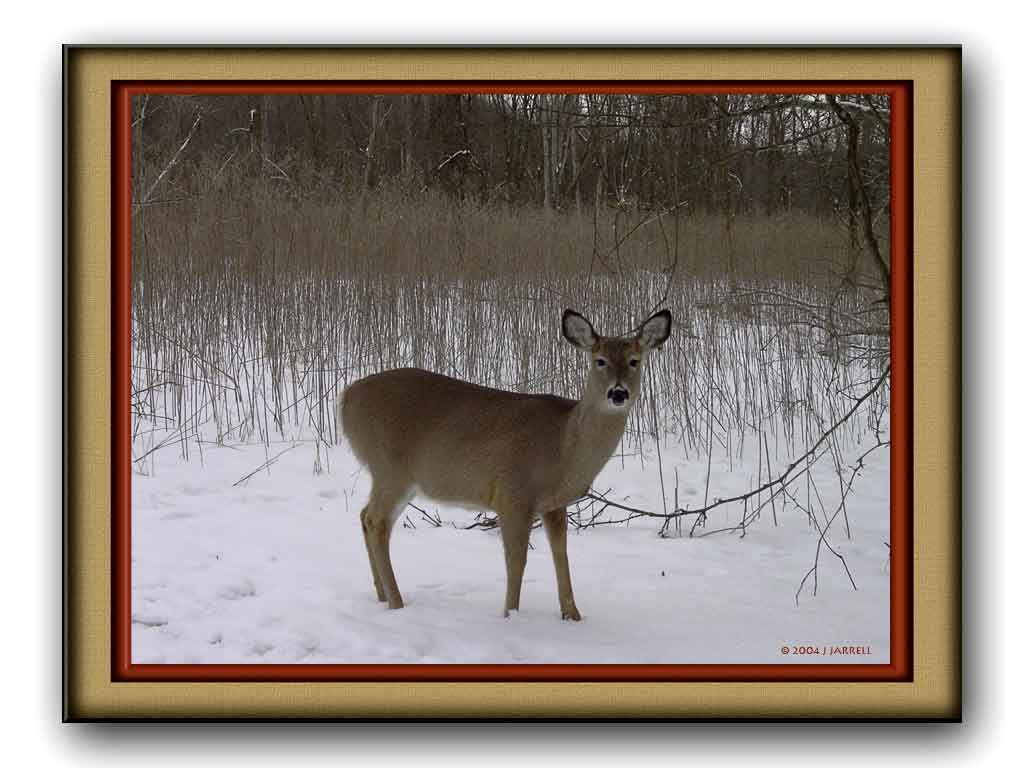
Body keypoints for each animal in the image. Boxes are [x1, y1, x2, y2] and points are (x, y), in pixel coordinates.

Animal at [335, 307, 671, 618]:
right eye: (599, 360)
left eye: (635, 361)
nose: (618, 393)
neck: (564, 446)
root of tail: (346, 397)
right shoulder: (513, 492)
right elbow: (516, 560)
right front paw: (511, 614)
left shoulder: (553, 504)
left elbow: (560, 553)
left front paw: (572, 615)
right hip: (390, 466)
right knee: (376, 521)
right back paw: (396, 602)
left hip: (391, 474)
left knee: (366, 516)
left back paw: (381, 596)